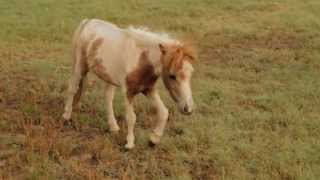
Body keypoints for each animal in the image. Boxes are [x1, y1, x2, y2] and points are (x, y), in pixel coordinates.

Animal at [61, 19, 194, 149]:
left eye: (191, 72)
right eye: (172, 76)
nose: (188, 108)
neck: (141, 60)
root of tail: (87, 22)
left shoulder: (149, 89)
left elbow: (163, 112)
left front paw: (153, 140)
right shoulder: (128, 92)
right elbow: (131, 117)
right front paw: (129, 144)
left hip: (109, 78)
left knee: (108, 98)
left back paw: (113, 127)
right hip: (80, 67)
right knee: (72, 88)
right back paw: (66, 116)